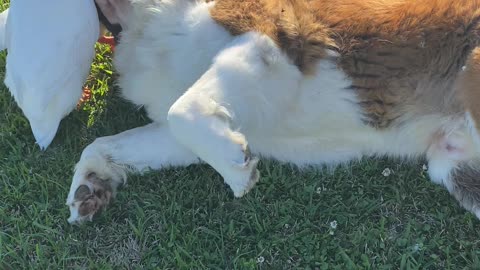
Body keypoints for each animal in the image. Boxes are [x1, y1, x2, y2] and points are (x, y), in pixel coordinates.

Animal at [65, 0, 480, 224]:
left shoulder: (267, 37)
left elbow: (183, 112)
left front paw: (237, 173)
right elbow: (109, 143)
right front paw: (92, 182)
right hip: (454, 168)